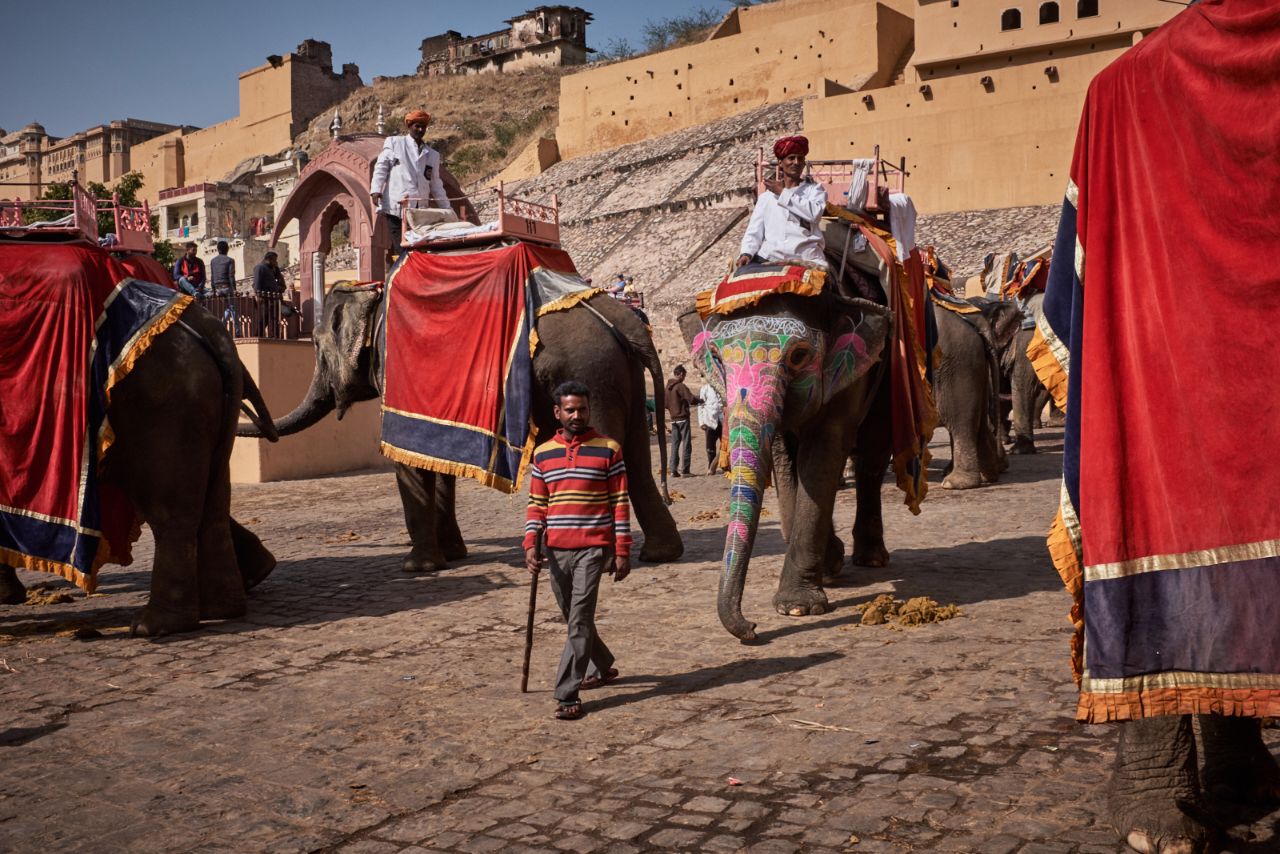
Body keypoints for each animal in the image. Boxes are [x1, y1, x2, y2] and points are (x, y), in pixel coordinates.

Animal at [0, 300, 279, 635]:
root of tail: (209, 326)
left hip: (161, 407)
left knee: (168, 508)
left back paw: (153, 626)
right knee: (212, 506)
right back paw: (227, 603)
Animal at [236, 284, 686, 571]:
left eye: (314, 344)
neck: (374, 293)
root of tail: (627, 324)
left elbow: (408, 454)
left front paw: (417, 567)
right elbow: (438, 458)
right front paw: (453, 556)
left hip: (588, 373)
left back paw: (604, 560)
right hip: (619, 377)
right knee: (635, 458)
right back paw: (660, 555)